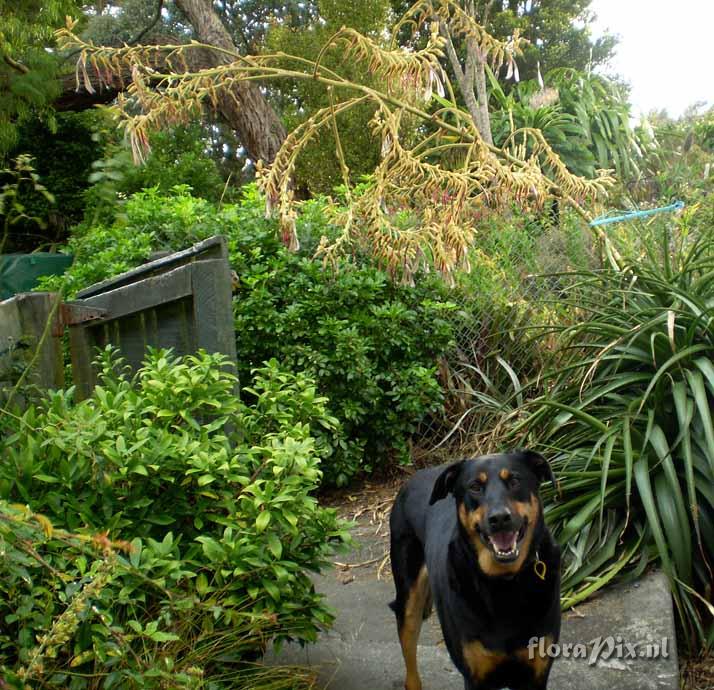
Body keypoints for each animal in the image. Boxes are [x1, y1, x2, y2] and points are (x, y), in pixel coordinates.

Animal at [386, 448, 560, 688]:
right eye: (475, 487)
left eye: (515, 481)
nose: (500, 518)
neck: (504, 583)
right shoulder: (475, 676)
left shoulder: (536, 674)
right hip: (409, 601)